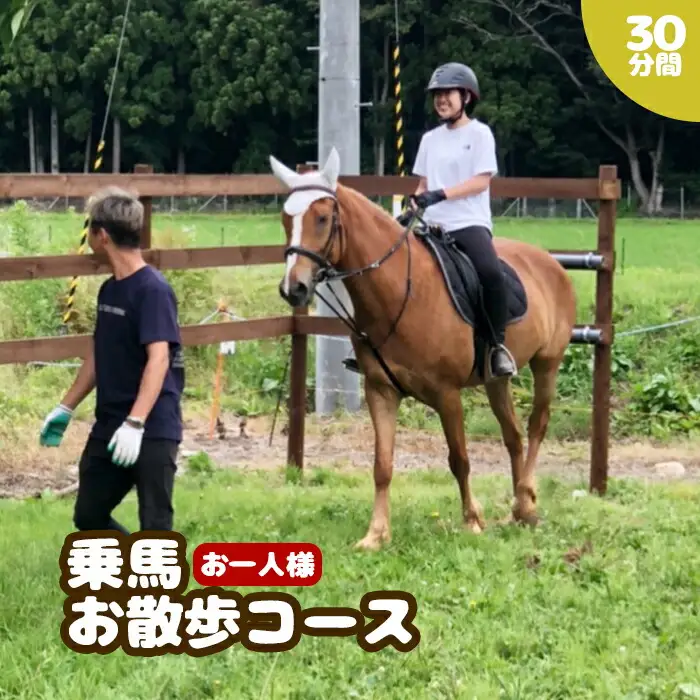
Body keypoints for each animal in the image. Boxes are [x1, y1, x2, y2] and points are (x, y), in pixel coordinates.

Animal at [269, 147, 577, 551]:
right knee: (513, 436)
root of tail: (551, 262)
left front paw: (472, 521)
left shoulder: (447, 394)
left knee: (537, 425)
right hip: (497, 380)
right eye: (286, 218)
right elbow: (382, 465)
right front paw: (376, 534)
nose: (294, 289)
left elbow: (459, 458)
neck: (401, 290)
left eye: (322, 218)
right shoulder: (380, 391)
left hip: (547, 364)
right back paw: (520, 510)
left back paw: (525, 499)